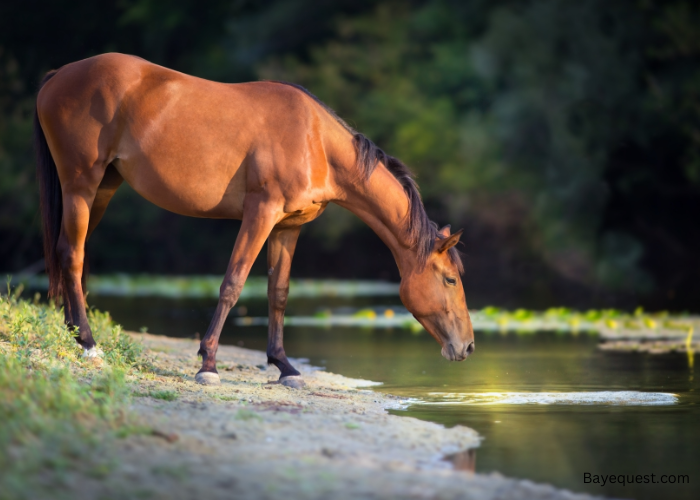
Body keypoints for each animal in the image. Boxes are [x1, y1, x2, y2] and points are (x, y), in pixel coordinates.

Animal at [34, 52, 476, 386]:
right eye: (449, 280)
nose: (468, 346)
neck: (314, 140)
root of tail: (60, 75)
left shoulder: (288, 226)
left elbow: (278, 293)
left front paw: (285, 367)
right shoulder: (260, 213)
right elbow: (233, 283)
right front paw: (208, 364)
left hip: (102, 188)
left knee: (70, 254)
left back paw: (74, 334)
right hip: (81, 184)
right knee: (72, 254)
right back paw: (88, 344)